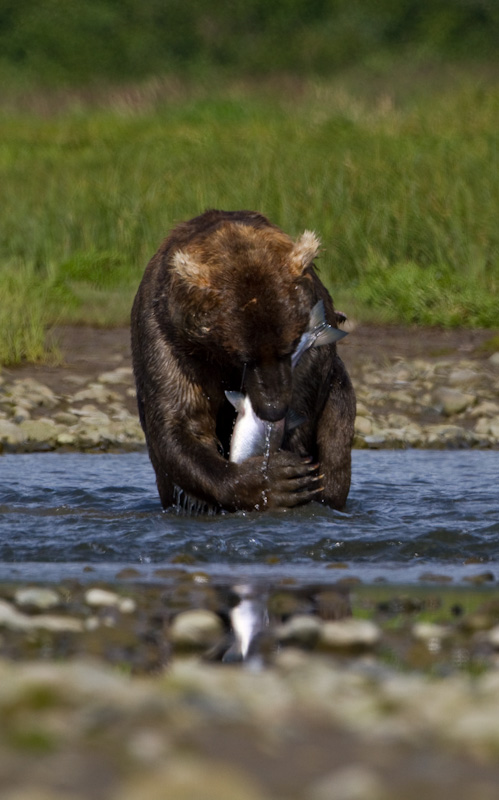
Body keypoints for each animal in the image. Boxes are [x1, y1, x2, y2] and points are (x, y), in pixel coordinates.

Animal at [129, 209, 356, 512]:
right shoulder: (167, 338)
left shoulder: (310, 363)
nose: (273, 409)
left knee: (335, 444)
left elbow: (301, 424)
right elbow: (179, 422)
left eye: (289, 349)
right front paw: (272, 481)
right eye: (245, 357)